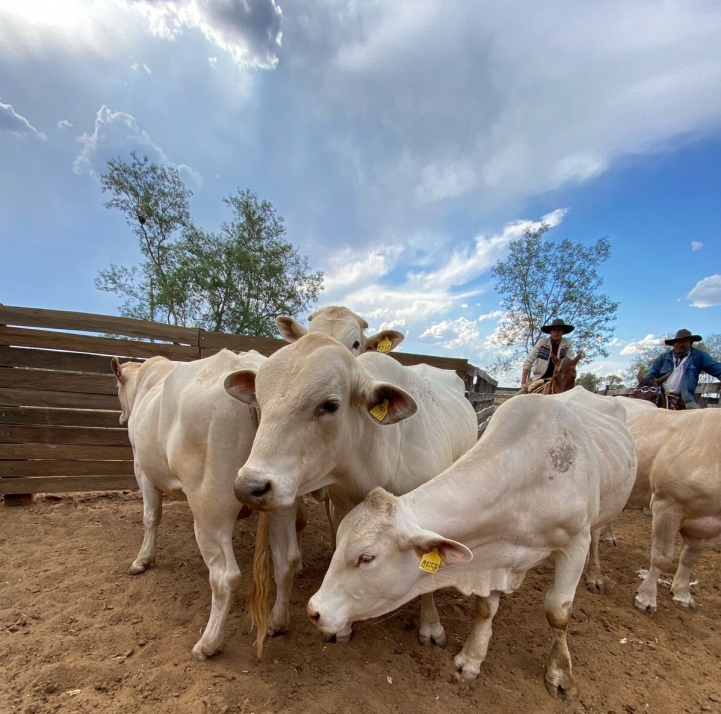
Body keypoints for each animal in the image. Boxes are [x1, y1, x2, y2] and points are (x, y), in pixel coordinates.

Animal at [222, 334, 476, 644]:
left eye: (331, 405)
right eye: (259, 399)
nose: (249, 486)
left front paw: (430, 625)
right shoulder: (342, 505)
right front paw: (342, 626)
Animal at [306, 392, 632, 700]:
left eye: (366, 557)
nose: (314, 610)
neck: (530, 476)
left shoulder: (575, 542)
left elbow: (558, 612)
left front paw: (560, 674)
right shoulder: (495, 556)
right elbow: (486, 607)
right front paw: (472, 658)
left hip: (602, 518)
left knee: (598, 539)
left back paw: (595, 576)